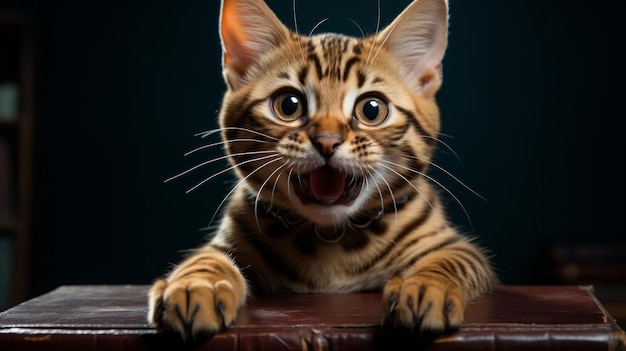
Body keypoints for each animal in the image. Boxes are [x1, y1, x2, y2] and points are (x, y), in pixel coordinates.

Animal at [146, 0, 492, 342]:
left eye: (372, 109)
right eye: (289, 104)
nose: (327, 141)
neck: (331, 238)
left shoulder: (460, 249)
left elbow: (447, 261)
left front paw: (425, 287)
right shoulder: (228, 242)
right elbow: (205, 259)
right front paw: (194, 286)